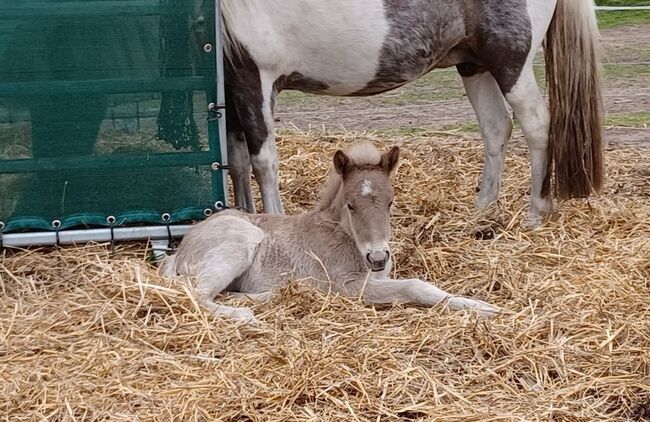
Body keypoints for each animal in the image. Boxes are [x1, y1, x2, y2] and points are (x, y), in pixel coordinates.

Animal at [162, 143, 496, 324]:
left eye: (391, 202)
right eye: (350, 204)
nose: (378, 257)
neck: (346, 237)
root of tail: (181, 250)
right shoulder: (349, 286)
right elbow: (417, 286)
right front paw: (485, 307)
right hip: (238, 242)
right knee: (196, 294)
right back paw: (244, 315)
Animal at [219, 0, 604, 227]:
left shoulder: (254, 77)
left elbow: (263, 162)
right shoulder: (231, 90)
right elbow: (236, 161)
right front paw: (241, 215)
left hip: (510, 63)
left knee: (537, 125)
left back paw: (536, 213)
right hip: (474, 65)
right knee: (496, 128)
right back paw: (482, 210)